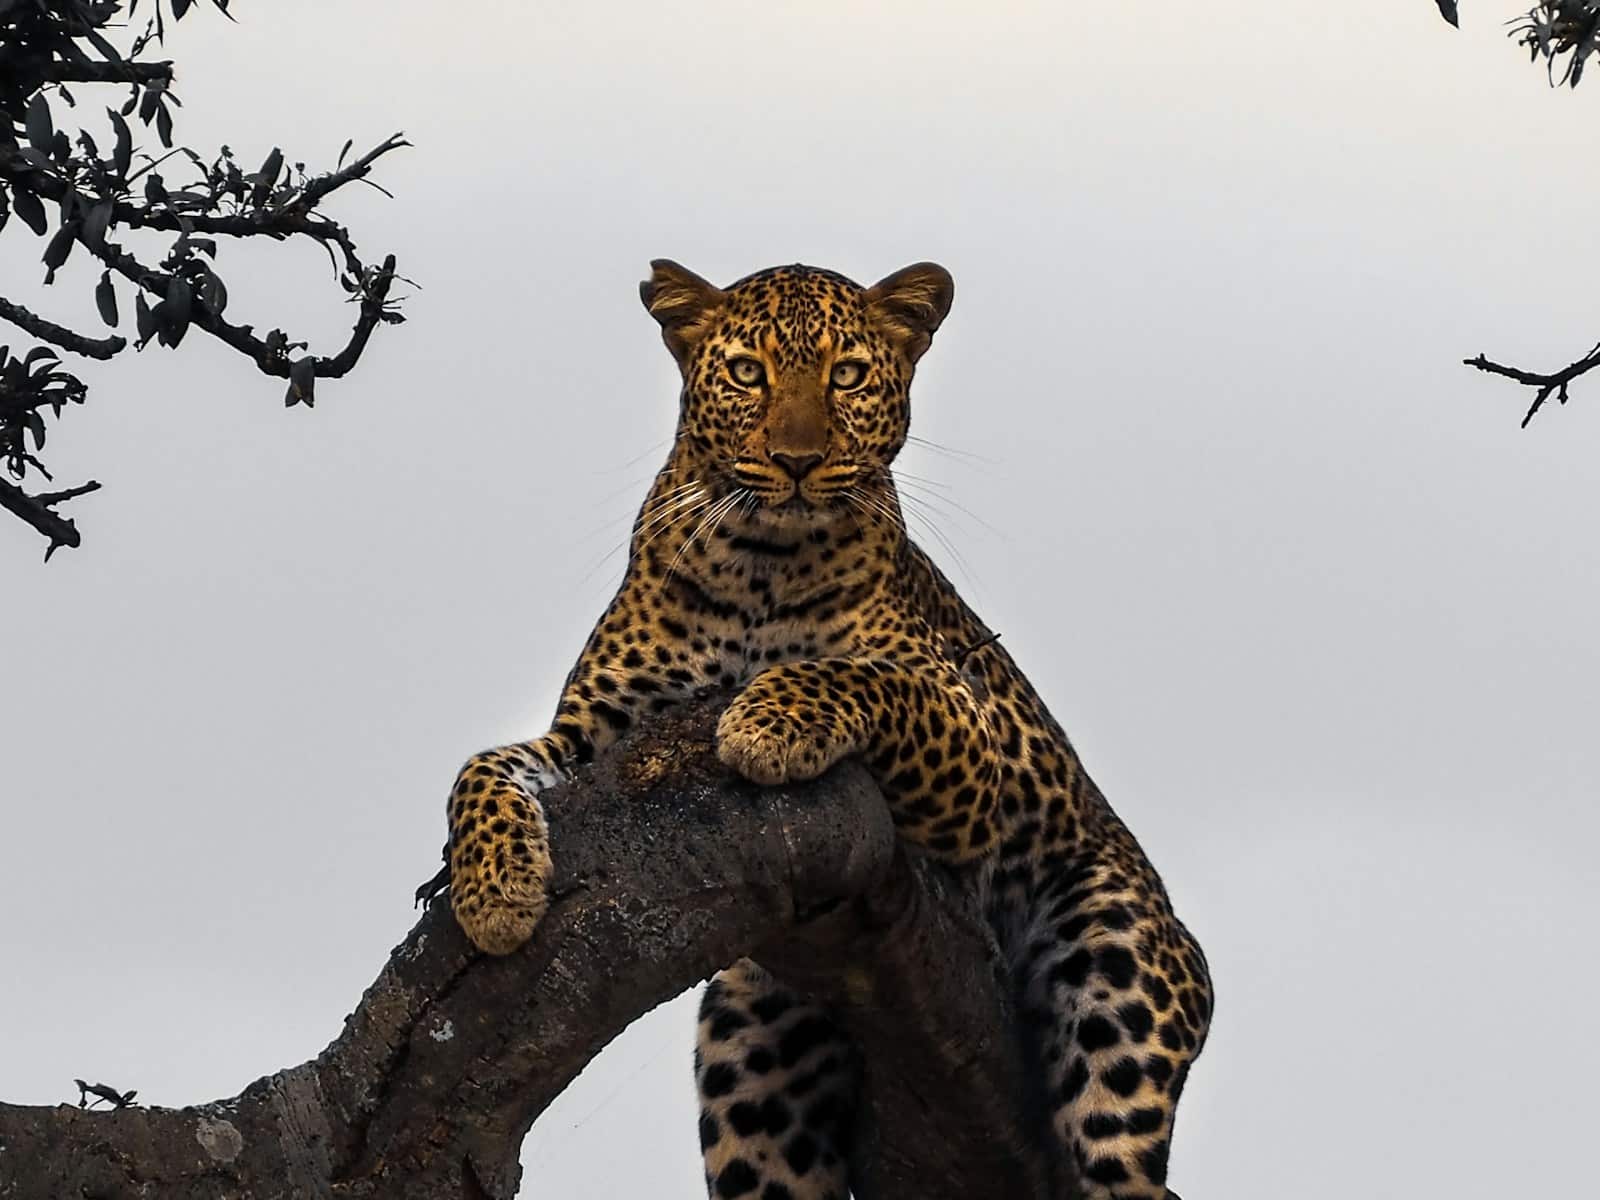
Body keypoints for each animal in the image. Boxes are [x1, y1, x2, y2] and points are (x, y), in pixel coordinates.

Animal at [444, 259, 1212, 1200]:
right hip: (749, 1040)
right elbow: (481, 766)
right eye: (747, 373)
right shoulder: (598, 741)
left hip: (1118, 975)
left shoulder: (971, 732)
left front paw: (763, 721)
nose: (799, 461)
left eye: (847, 375)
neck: (759, 562)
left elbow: (857, 675)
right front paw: (493, 894)